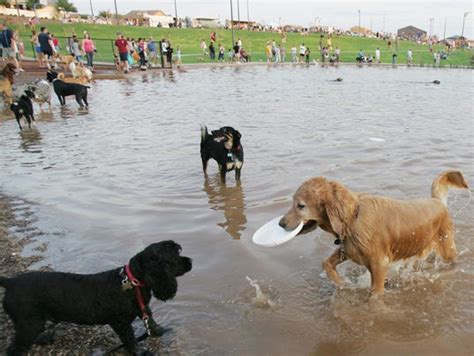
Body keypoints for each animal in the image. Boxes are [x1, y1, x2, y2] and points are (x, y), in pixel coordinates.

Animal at [0, 241, 193, 354]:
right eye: (175, 256)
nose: (190, 261)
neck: (133, 282)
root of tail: (10, 282)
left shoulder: (142, 307)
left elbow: (150, 320)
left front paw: (159, 331)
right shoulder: (120, 323)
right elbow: (130, 341)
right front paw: (139, 351)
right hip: (29, 323)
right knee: (14, 349)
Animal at [280, 172, 468, 298]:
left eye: (300, 205)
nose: (280, 223)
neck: (353, 218)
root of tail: (437, 201)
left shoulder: (379, 263)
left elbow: (375, 295)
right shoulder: (349, 248)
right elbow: (326, 263)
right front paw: (342, 283)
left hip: (446, 247)